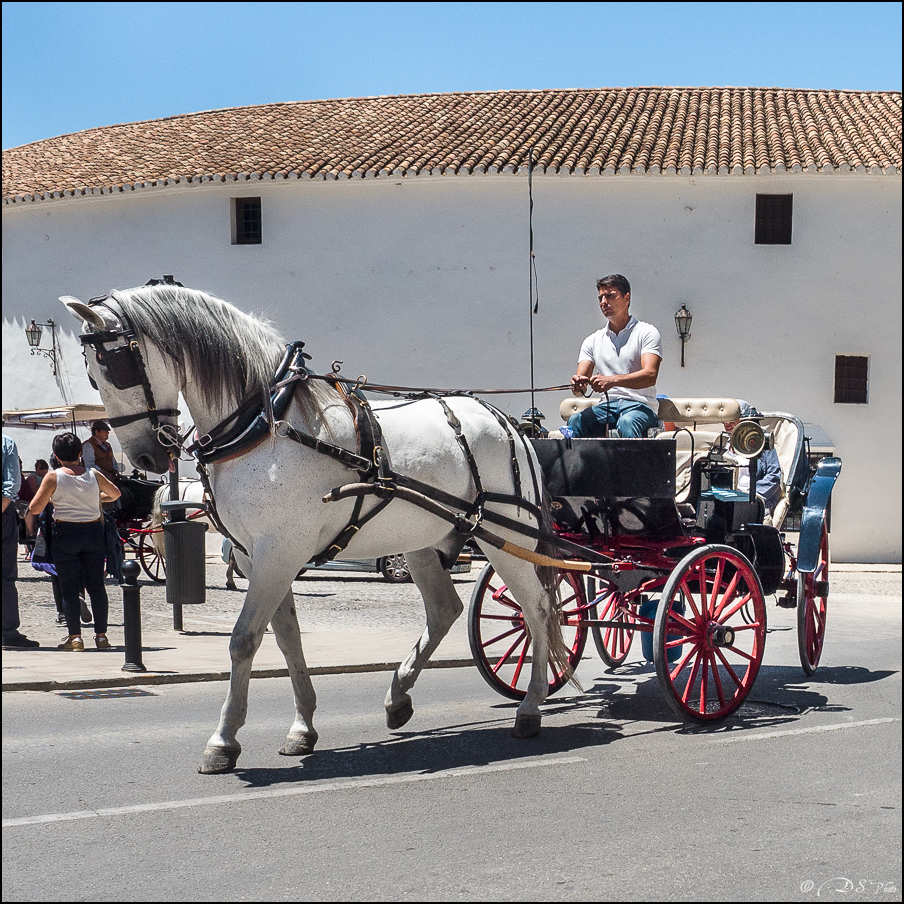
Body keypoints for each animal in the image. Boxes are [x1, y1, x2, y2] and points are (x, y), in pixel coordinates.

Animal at [63, 286, 572, 772]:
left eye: (113, 366)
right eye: (89, 374)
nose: (146, 456)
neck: (264, 425)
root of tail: (506, 421)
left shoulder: (278, 552)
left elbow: (244, 640)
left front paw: (223, 741)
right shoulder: (257, 556)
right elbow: (287, 639)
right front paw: (302, 727)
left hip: (509, 537)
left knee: (539, 610)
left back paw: (529, 707)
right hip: (420, 539)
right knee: (445, 609)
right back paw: (399, 696)